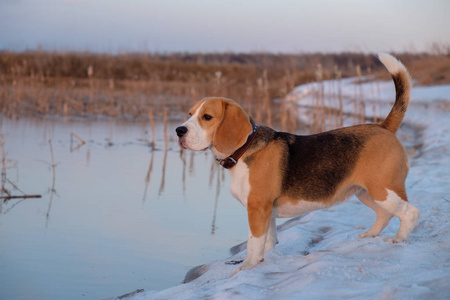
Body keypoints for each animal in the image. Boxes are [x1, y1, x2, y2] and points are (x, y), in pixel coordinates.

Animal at [176, 53, 418, 274]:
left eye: (207, 117)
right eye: (190, 113)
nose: (179, 130)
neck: (244, 150)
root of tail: (383, 126)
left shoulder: (257, 209)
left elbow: (253, 245)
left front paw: (245, 270)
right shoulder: (267, 213)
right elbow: (268, 242)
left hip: (383, 190)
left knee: (410, 212)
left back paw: (398, 240)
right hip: (365, 192)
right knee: (385, 215)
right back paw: (370, 235)